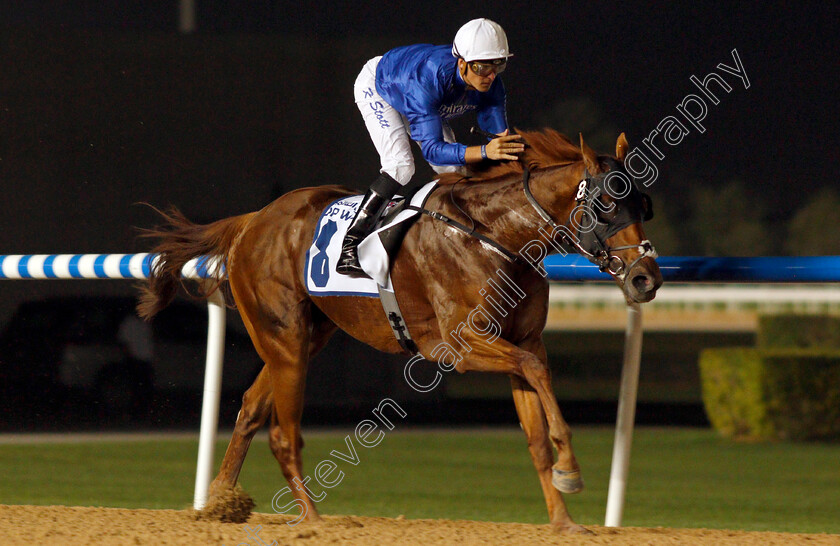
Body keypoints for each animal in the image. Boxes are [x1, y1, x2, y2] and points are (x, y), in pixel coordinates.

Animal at [138, 129, 664, 532]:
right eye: (607, 204)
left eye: (643, 204)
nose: (647, 279)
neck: (496, 236)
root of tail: (253, 220)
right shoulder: (457, 344)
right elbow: (535, 370)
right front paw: (570, 469)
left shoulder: (520, 340)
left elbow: (534, 422)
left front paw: (563, 518)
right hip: (284, 336)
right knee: (283, 434)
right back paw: (313, 519)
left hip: (306, 337)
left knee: (250, 408)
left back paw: (220, 502)